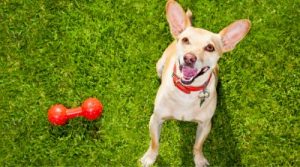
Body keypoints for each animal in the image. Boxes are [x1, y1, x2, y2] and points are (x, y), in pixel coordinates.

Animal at [141, 0, 251, 166]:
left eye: (210, 47)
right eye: (186, 40)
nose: (189, 58)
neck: (187, 92)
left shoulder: (205, 124)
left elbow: (198, 145)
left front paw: (199, 159)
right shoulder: (155, 119)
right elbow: (155, 143)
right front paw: (150, 157)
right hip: (159, 65)